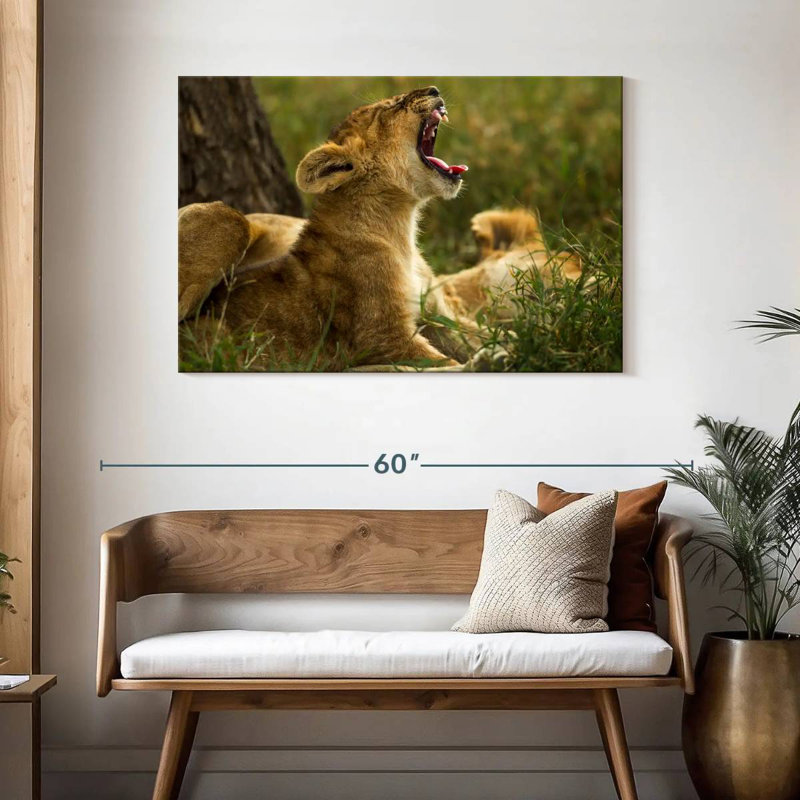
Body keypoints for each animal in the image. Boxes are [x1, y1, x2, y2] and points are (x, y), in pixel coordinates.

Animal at [178, 86, 581, 371]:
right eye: (393, 106)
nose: (434, 88)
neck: (401, 229)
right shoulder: (383, 337)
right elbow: (443, 364)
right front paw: (501, 358)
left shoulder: (437, 316)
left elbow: (491, 334)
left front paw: (544, 341)